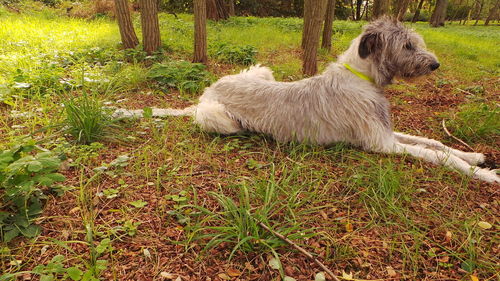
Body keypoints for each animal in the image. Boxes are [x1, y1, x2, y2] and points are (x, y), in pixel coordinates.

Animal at [115, 18, 498, 183]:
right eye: (407, 45)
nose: (435, 65)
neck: (362, 78)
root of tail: (204, 95)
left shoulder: (386, 131)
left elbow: (433, 142)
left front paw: (475, 156)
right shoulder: (381, 143)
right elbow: (436, 155)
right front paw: (485, 175)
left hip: (262, 71)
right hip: (218, 119)